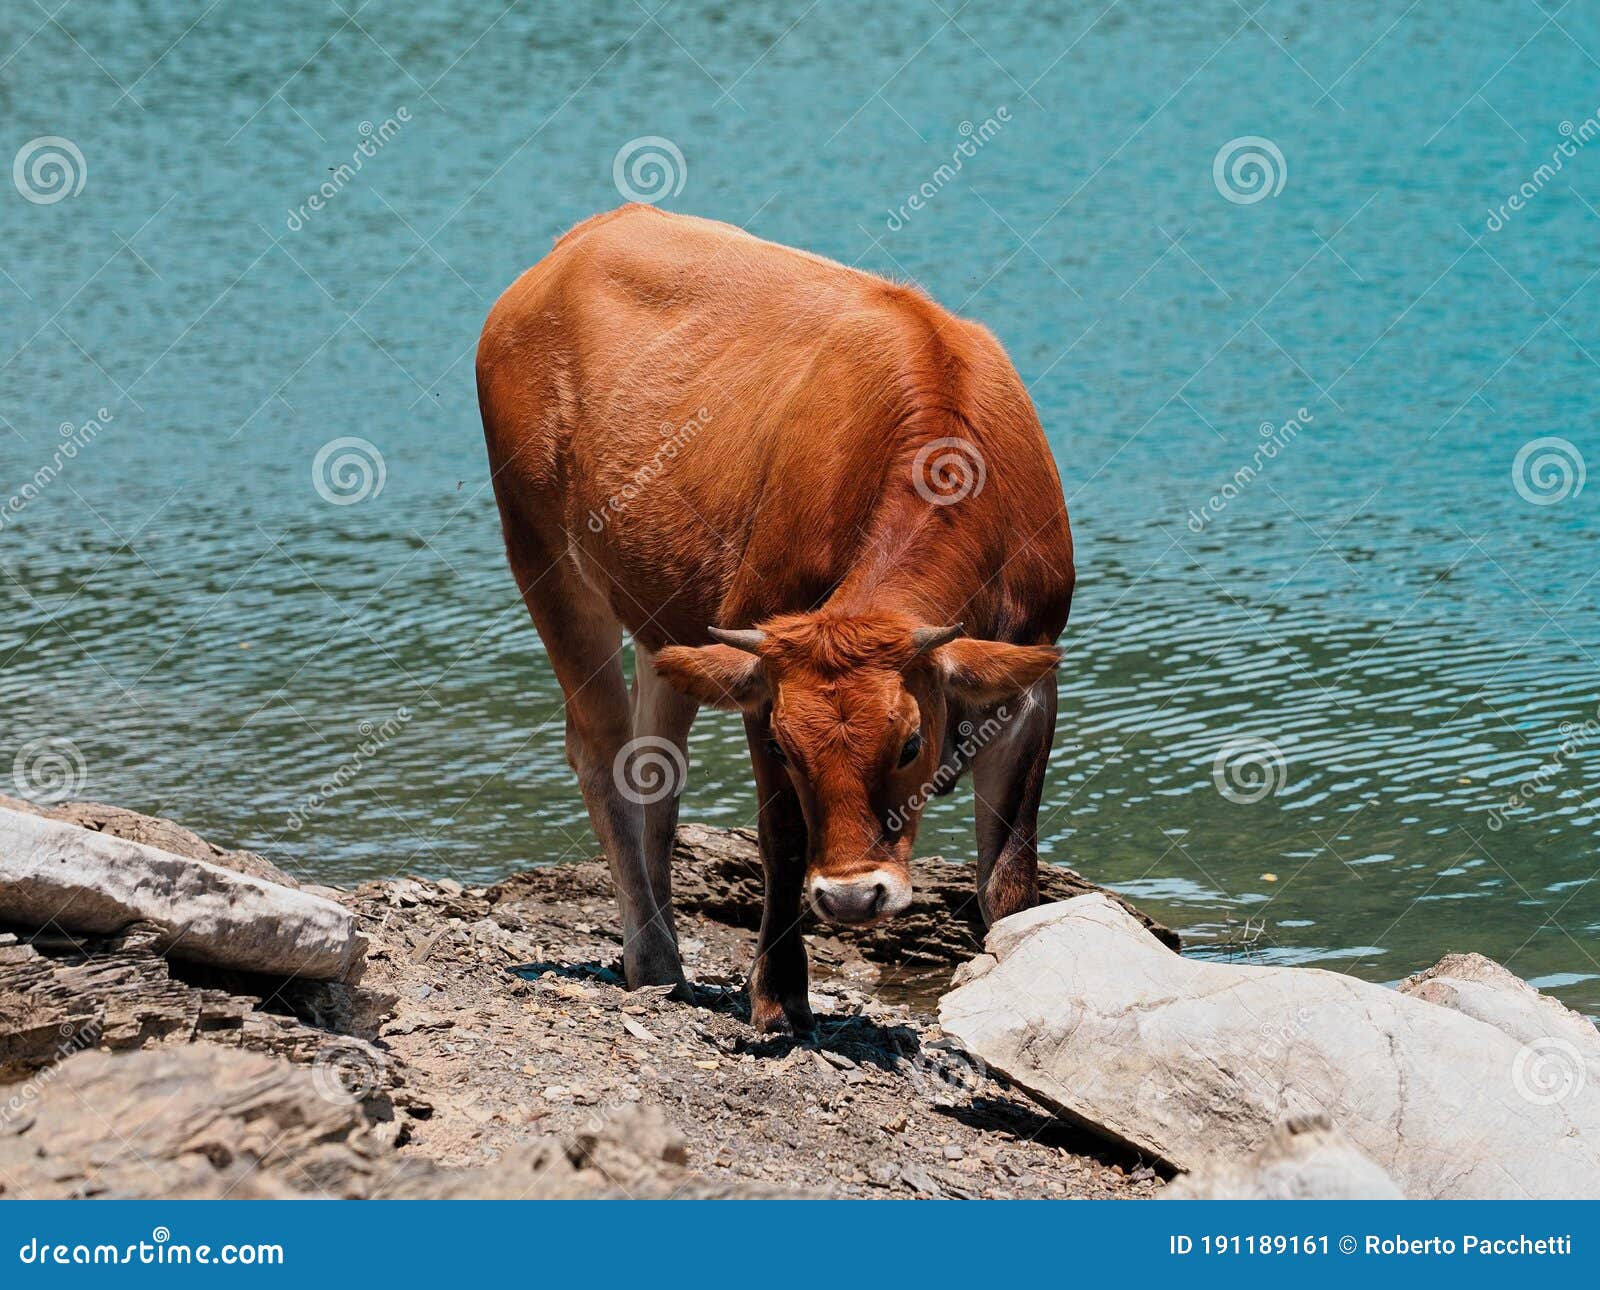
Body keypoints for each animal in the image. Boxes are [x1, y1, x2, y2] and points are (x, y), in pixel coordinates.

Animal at [473, 204, 1075, 1043]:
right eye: (792, 748)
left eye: (910, 742)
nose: (854, 897)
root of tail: (588, 234)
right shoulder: (765, 682)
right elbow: (783, 839)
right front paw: (778, 997)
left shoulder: (1029, 678)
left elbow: (1012, 874)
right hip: (542, 555)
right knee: (602, 751)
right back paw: (654, 962)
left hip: (667, 620)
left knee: (655, 764)